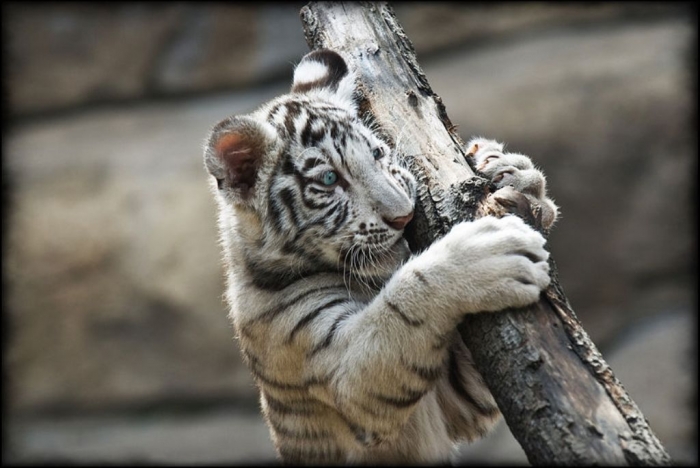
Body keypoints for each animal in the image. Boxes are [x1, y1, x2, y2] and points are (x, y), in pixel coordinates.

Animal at [203, 49, 557, 465]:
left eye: (375, 153)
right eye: (329, 180)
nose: (404, 216)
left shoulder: (456, 397)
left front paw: (511, 172)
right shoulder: (344, 373)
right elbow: (404, 304)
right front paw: (488, 256)